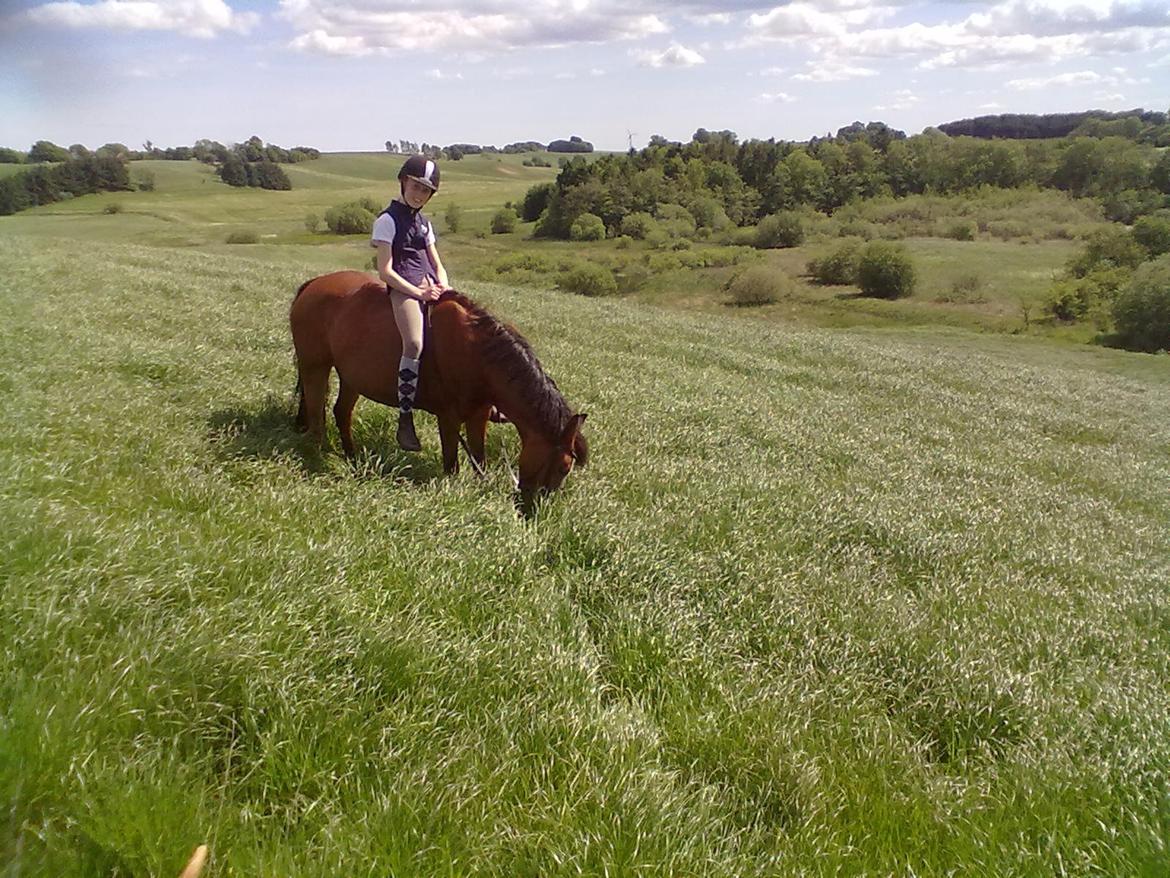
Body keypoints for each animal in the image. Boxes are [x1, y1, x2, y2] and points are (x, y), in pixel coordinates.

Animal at [288, 271, 589, 505]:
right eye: (564, 468)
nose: (533, 509)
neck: (479, 356)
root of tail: (314, 283)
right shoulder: (448, 417)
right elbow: (451, 464)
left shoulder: (478, 415)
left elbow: (479, 459)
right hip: (314, 366)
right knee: (316, 411)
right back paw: (318, 452)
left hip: (352, 376)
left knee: (342, 412)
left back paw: (351, 456)